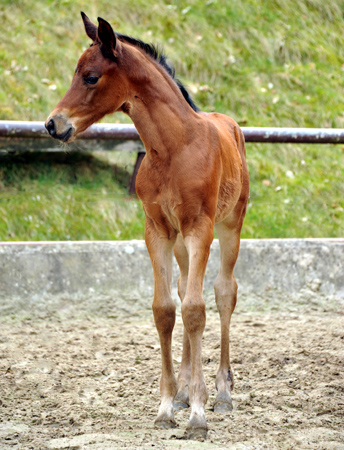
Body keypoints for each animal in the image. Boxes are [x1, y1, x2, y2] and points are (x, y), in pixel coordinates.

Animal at [46, 14, 250, 440]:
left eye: (90, 77)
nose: (53, 124)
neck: (173, 148)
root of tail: (229, 123)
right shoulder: (156, 230)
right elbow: (166, 310)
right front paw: (168, 406)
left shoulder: (200, 228)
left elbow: (195, 310)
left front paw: (198, 416)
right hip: (181, 243)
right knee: (185, 288)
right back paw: (187, 391)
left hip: (230, 225)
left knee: (224, 292)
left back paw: (222, 393)